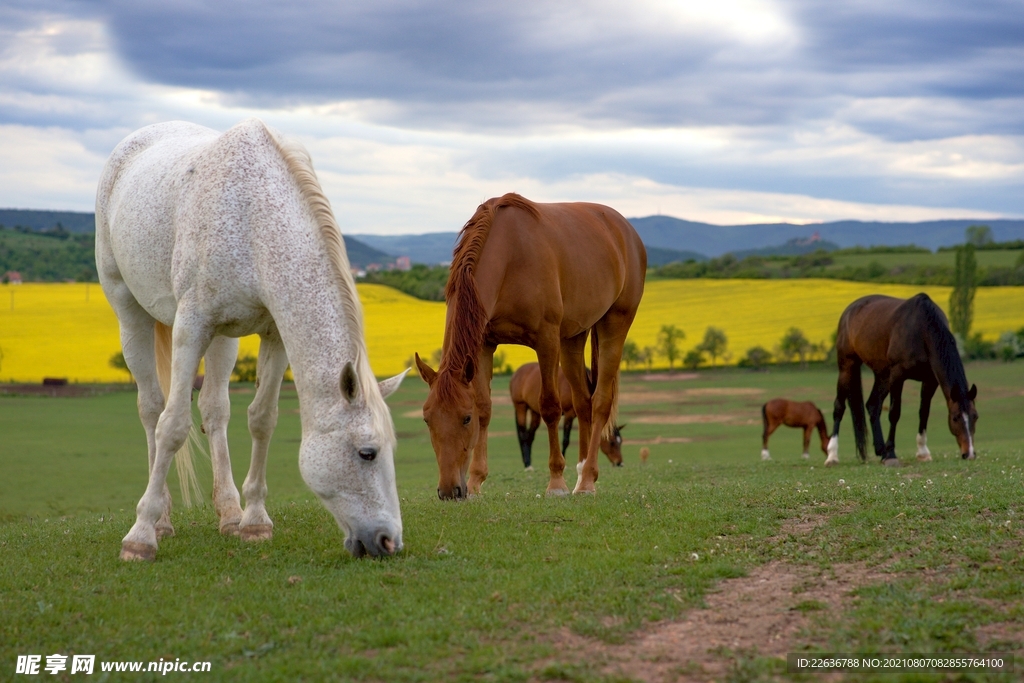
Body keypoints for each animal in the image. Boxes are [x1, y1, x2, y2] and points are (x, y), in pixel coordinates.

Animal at [96, 117, 407, 561]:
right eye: (368, 452)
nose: (389, 541)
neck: (252, 218)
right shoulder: (191, 326)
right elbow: (172, 426)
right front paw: (139, 538)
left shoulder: (273, 333)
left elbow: (262, 418)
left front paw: (255, 521)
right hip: (130, 311)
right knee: (151, 409)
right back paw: (162, 520)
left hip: (223, 339)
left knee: (214, 410)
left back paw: (229, 513)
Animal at [413, 194, 638, 499]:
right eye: (427, 419)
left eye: (465, 419)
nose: (450, 491)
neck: (510, 257)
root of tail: (624, 229)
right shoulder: (484, 345)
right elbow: (486, 406)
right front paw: (476, 481)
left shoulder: (546, 340)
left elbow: (550, 407)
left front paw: (556, 482)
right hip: (573, 338)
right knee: (583, 403)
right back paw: (581, 474)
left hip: (614, 325)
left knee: (600, 402)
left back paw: (587, 481)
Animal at [823, 290, 974, 466]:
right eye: (955, 418)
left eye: (975, 417)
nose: (969, 453)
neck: (921, 329)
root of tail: (849, 311)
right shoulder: (897, 375)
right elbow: (895, 413)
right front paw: (891, 454)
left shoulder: (930, 380)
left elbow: (924, 412)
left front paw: (922, 452)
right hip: (847, 367)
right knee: (839, 408)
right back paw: (832, 456)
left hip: (883, 375)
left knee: (873, 405)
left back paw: (880, 450)